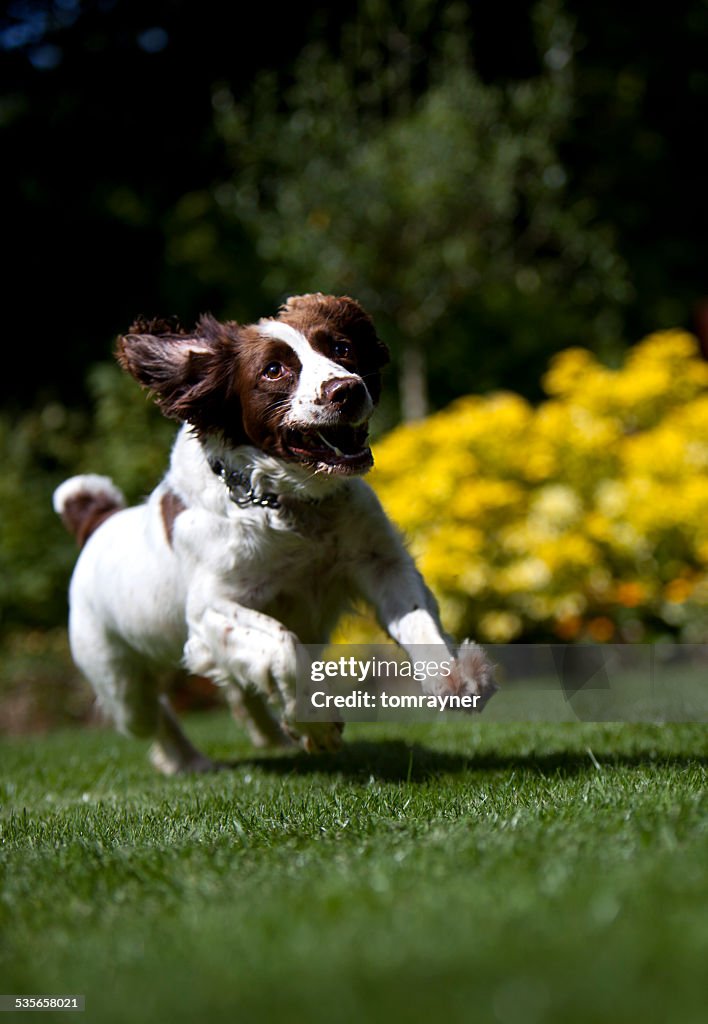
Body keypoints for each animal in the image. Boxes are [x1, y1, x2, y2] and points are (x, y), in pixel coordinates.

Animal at [55, 292, 495, 770]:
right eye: (273, 370)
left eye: (341, 348)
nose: (348, 390)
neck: (291, 505)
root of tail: (98, 521)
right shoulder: (209, 608)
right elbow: (282, 645)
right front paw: (315, 727)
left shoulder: (380, 560)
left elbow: (417, 617)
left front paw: (456, 679)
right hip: (117, 677)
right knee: (153, 715)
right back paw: (188, 760)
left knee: (234, 688)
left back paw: (269, 736)